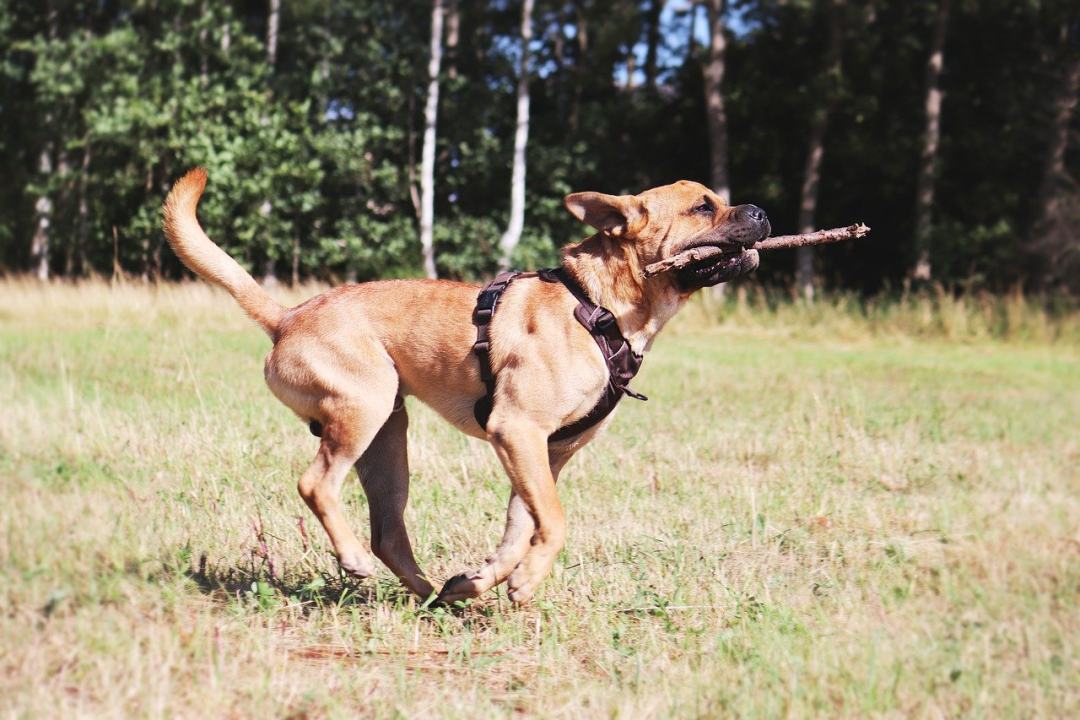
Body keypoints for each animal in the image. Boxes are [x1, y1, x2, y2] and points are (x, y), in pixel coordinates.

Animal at [159, 171, 768, 604]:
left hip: (389, 439)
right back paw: (355, 560)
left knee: (388, 532)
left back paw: (431, 592)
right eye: (703, 207)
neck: (600, 311)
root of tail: (286, 318)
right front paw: (525, 581)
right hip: (363, 409)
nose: (761, 211)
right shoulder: (517, 430)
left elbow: (522, 525)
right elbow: (554, 521)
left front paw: (482, 580)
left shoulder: (548, 451)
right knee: (317, 486)